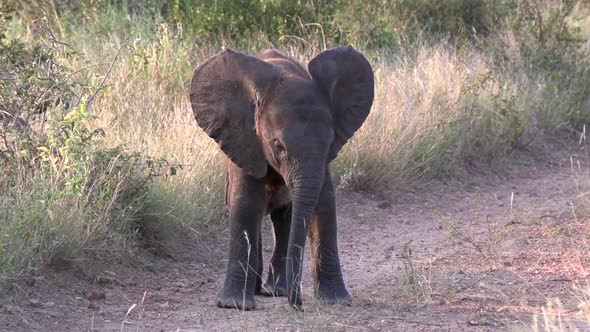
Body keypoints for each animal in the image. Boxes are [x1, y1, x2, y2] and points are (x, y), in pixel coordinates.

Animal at [190, 45, 374, 310]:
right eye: (278, 146)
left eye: (330, 142)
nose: (298, 305)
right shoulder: (246, 142)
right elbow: (245, 204)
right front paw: (234, 305)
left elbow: (325, 203)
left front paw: (336, 301)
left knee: (285, 216)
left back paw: (276, 290)